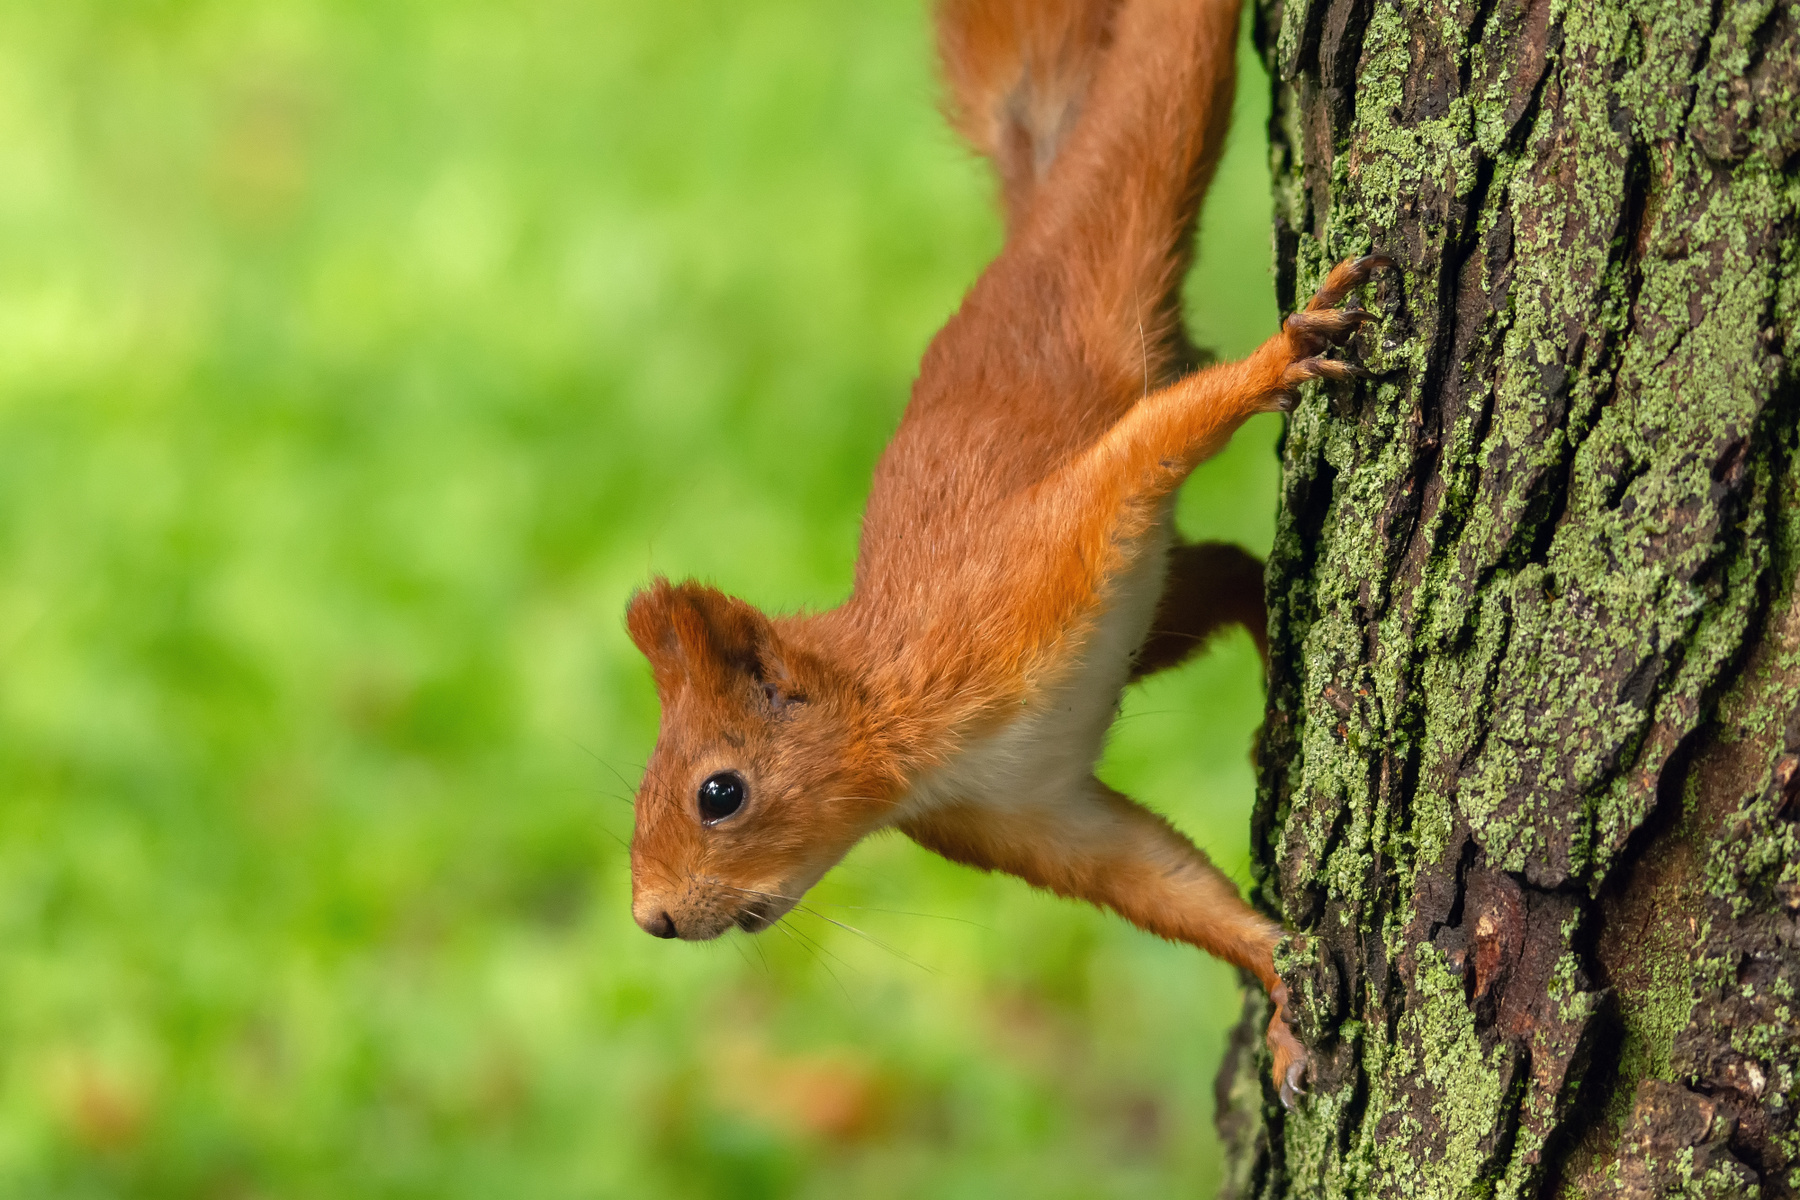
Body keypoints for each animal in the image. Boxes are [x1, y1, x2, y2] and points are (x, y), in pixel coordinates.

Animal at [624, 0, 1386, 1109]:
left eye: (719, 793)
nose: (653, 919)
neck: (904, 723)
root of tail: (1029, 236)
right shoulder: (1023, 813)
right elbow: (1155, 880)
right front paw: (1280, 980)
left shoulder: (1027, 569)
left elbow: (1146, 449)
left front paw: (1281, 360)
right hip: (1159, 614)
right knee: (1234, 569)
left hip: (1138, 182)